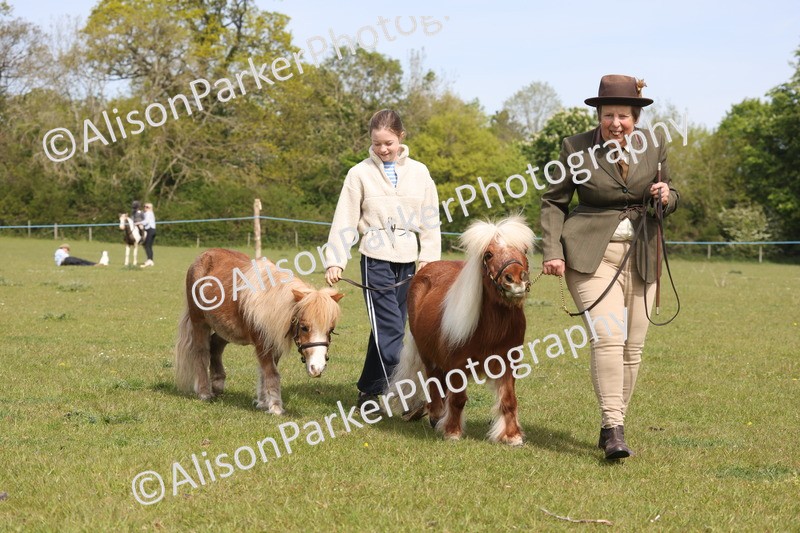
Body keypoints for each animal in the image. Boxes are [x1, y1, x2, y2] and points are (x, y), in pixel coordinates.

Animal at [174, 248, 344, 414]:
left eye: (330, 330)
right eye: (304, 327)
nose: (317, 368)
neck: (271, 303)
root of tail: (203, 256)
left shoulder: (274, 343)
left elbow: (265, 372)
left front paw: (263, 403)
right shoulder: (263, 344)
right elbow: (271, 373)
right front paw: (275, 407)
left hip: (225, 329)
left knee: (215, 347)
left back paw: (217, 384)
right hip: (199, 322)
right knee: (201, 352)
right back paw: (204, 392)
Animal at [387, 216, 535, 445]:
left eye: (524, 250)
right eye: (488, 254)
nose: (516, 280)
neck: (492, 328)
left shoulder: (508, 362)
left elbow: (509, 400)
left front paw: (512, 436)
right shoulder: (457, 363)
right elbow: (457, 399)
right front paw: (452, 432)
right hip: (427, 354)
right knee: (434, 382)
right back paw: (435, 416)